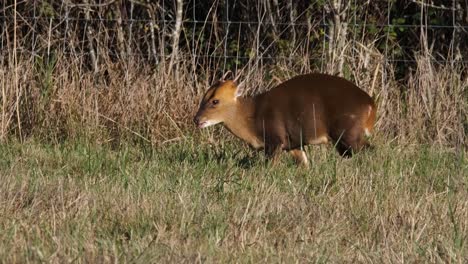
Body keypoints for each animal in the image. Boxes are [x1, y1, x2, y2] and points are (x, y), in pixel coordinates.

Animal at [194, 73, 376, 166]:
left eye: (215, 101)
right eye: (203, 98)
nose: (196, 119)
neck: (252, 117)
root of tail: (370, 105)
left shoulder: (275, 139)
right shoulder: (293, 143)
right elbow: (304, 164)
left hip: (347, 132)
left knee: (370, 150)